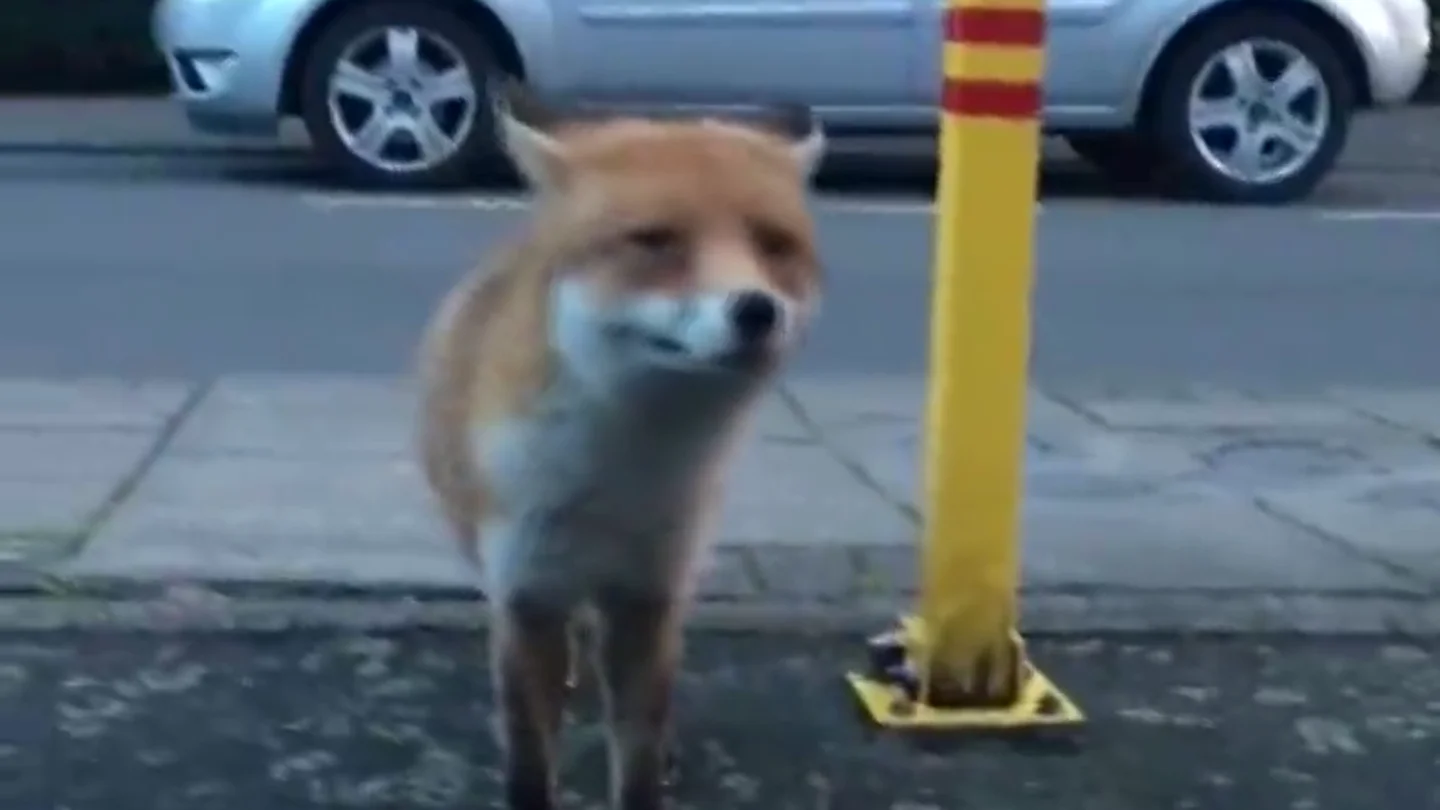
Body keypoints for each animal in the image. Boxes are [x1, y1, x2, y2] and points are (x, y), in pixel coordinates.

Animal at [416, 80, 826, 810]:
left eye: (773, 243)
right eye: (656, 241)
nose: (757, 310)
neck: (622, 472)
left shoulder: (648, 595)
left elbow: (637, 755)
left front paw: (650, 766)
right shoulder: (525, 594)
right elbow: (530, 760)